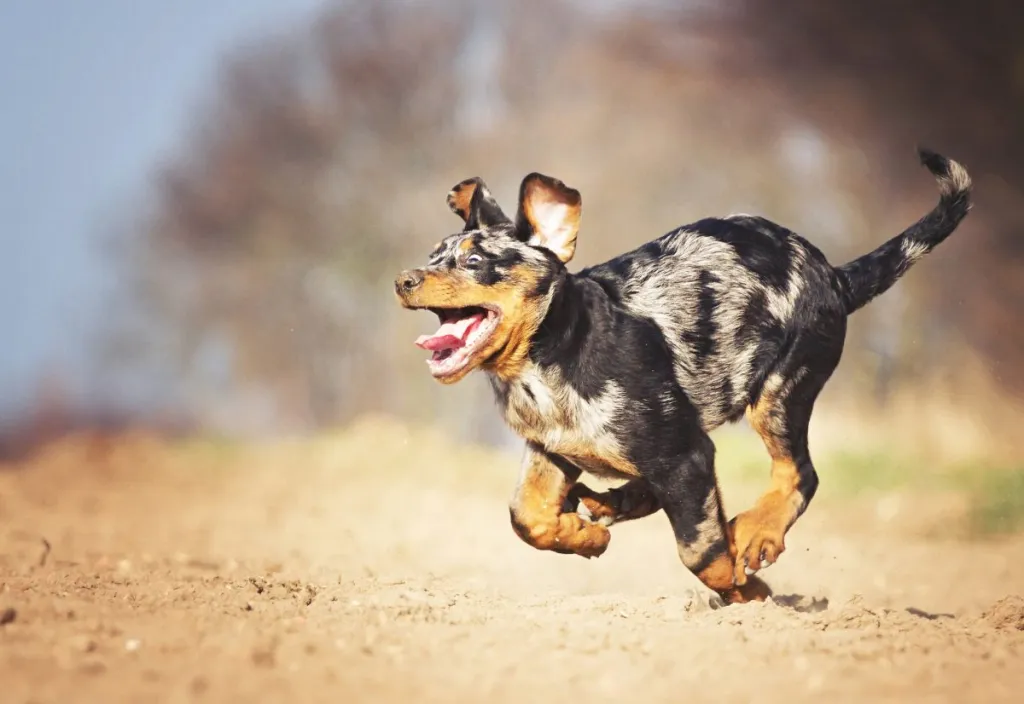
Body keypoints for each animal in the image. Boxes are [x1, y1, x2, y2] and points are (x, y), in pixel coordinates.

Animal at [389, 145, 966, 601]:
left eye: (473, 261)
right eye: (433, 256)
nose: (403, 280)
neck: (554, 357)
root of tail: (836, 277)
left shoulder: (685, 454)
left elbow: (703, 552)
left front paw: (749, 592)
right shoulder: (553, 450)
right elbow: (526, 517)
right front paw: (585, 537)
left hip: (781, 392)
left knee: (799, 473)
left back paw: (755, 534)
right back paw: (606, 504)